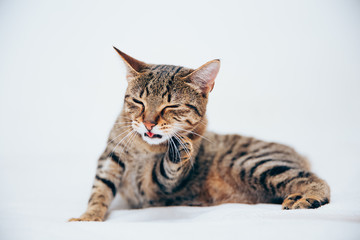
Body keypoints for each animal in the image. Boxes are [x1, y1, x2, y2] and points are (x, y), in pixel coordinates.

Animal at [69, 47, 330, 222]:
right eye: (138, 102)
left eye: (170, 106)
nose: (148, 123)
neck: (144, 148)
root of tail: (299, 153)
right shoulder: (111, 157)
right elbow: (100, 190)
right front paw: (88, 217)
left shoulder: (158, 186)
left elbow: (165, 170)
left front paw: (178, 150)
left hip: (254, 163)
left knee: (315, 180)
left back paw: (306, 198)